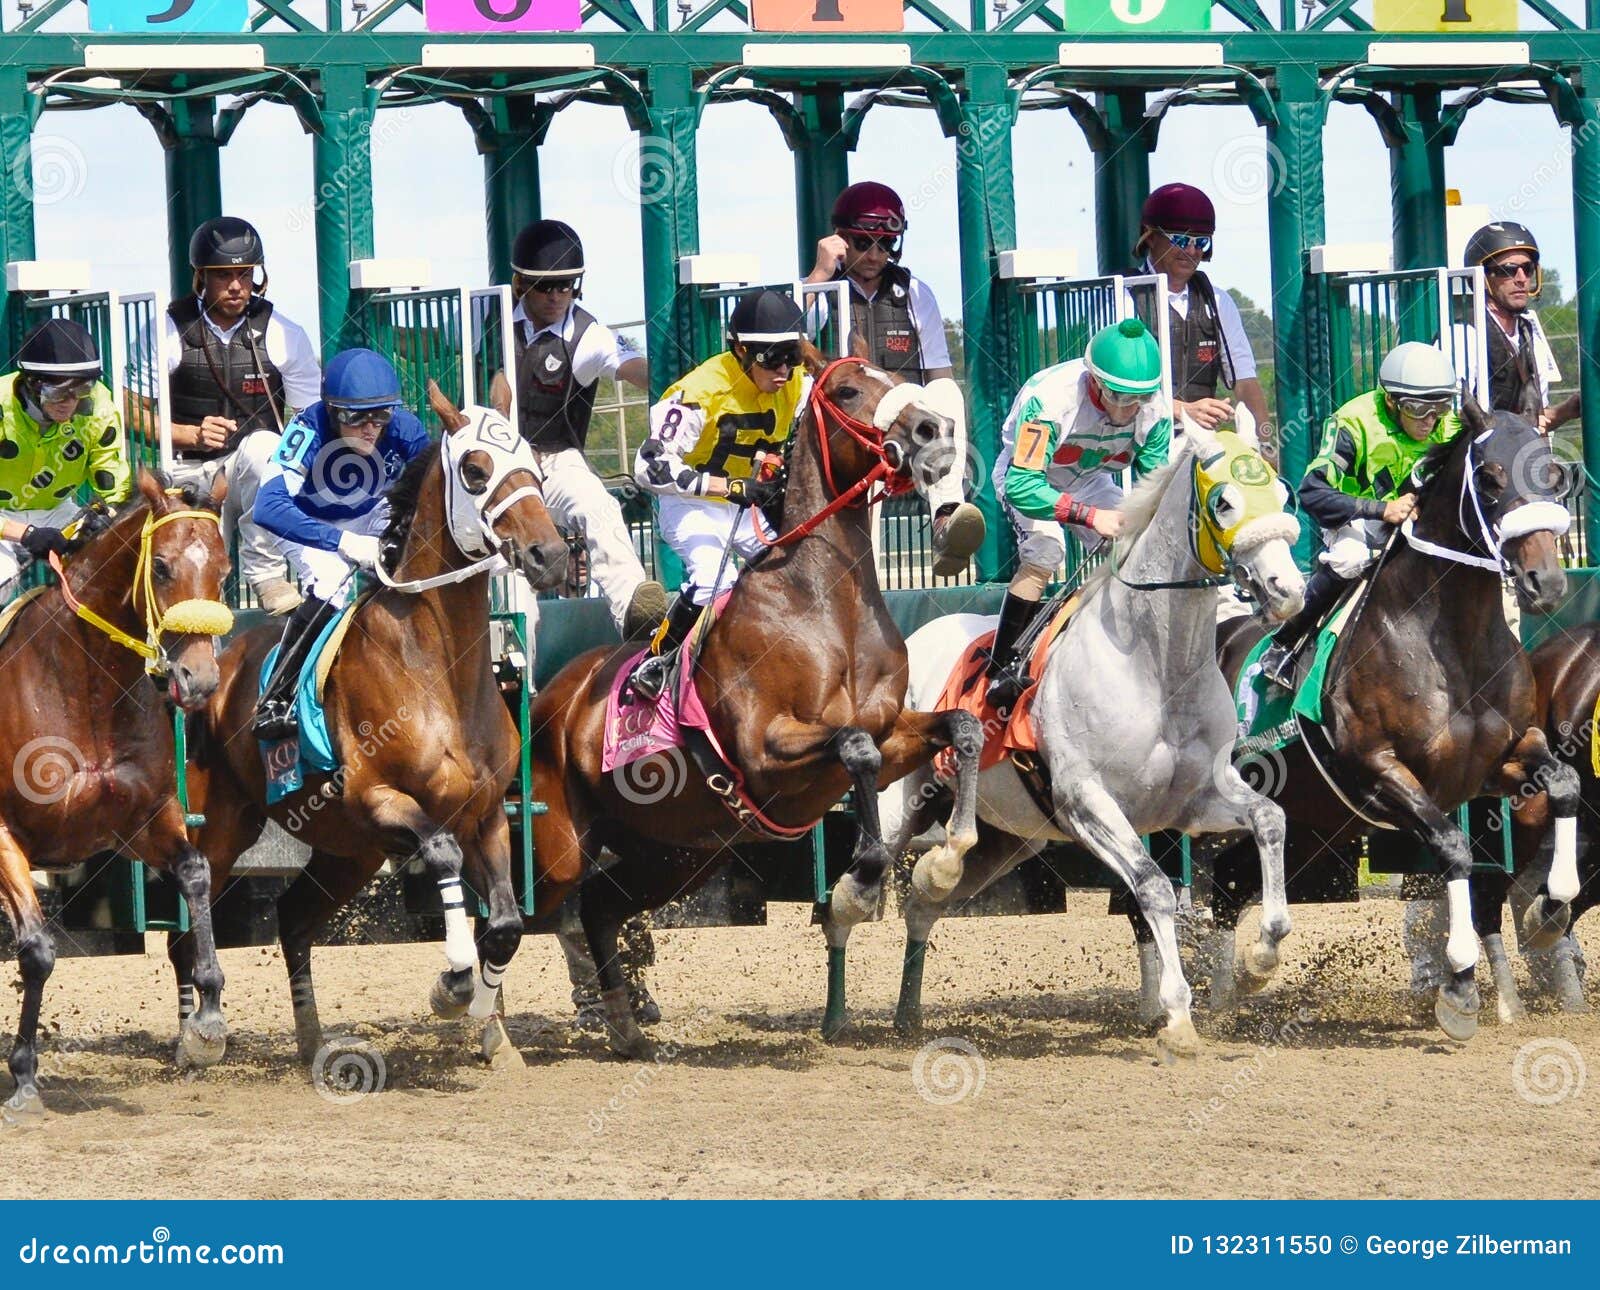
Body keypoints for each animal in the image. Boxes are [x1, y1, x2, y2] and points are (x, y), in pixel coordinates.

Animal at [0, 473, 233, 1120]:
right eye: (162, 567)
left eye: (225, 570)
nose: (198, 681)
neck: (83, 689)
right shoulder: (4, 836)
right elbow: (37, 950)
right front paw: (23, 1078)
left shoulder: (140, 820)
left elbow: (197, 873)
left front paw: (206, 1022)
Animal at [176, 384, 569, 1069]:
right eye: (475, 470)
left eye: (536, 469)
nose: (549, 555)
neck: (437, 665)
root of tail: (214, 667)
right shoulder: (376, 797)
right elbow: (440, 852)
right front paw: (452, 984)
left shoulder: (488, 813)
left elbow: (507, 924)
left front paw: (492, 1028)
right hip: (227, 821)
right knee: (192, 910)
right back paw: (200, 1030)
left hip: (347, 850)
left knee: (293, 918)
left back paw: (312, 1043)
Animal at [524, 345, 979, 1062]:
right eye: (848, 391)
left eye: (890, 374)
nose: (935, 434)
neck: (824, 602)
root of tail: (552, 697)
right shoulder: (767, 753)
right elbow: (853, 752)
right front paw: (859, 880)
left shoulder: (894, 732)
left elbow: (959, 726)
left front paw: (946, 854)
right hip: (561, 841)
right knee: (514, 908)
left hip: (677, 851)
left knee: (595, 906)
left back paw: (625, 1025)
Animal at [819, 419, 1305, 1056]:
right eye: (1223, 501)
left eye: (1283, 494)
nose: (1288, 589)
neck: (1158, 668)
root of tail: (912, 641)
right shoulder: (1084, 802)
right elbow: (1153, 889)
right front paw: (1177, 1016)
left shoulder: (1195, 799)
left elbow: (1271, 819)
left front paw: (1260, 959)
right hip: (902, 803)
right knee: (843, 905)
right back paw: (834, 1018)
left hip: (1011, 840)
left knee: (925, 902)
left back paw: (909, 1009)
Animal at [1209, 398, 1574, 1043]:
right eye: (1489, 478)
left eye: (1553, 475)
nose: (1547, 583)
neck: (1450, 638)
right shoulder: (1378, 769)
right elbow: (1453, 847)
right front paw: (1459, 989)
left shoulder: (1502, 757)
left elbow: (1565, 784)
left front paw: (1548, 912)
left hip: (1313, 821)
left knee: (1231, 883)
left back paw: (1243, 980)